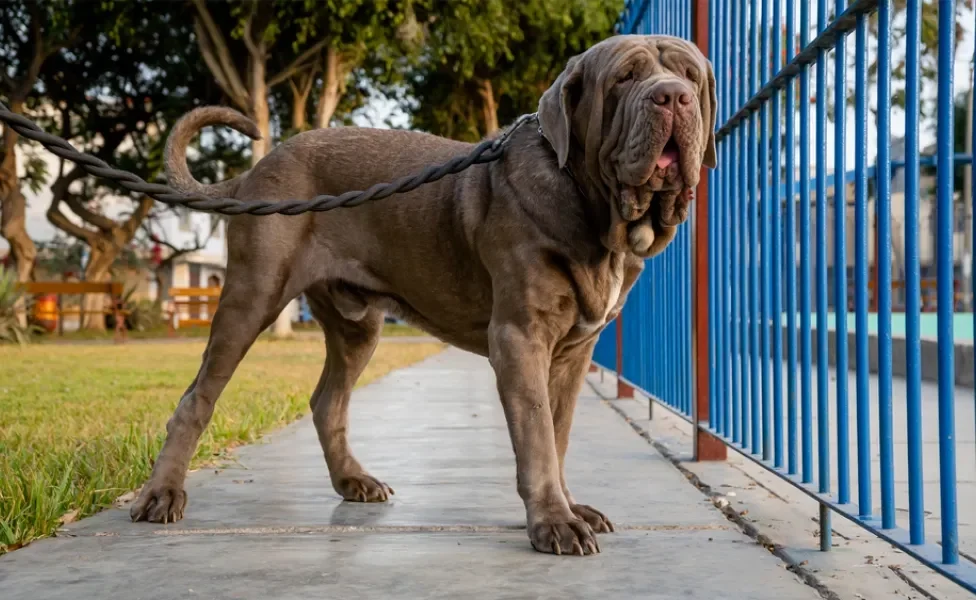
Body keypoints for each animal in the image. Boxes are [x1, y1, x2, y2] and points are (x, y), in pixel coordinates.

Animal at [130, 34, 716, 556]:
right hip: (253, 296)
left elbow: (559, 431)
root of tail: (257, 169)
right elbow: (538, 437)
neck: (598, 213)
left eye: (691, 76)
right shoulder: (520, 338)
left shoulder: (573, 352)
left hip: (357, 325)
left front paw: (570, 507)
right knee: (196, 398)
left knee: (327, 401)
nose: (673, 97)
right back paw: (161, 494)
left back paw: (354, 481)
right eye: (625, 78)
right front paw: (555, 521)